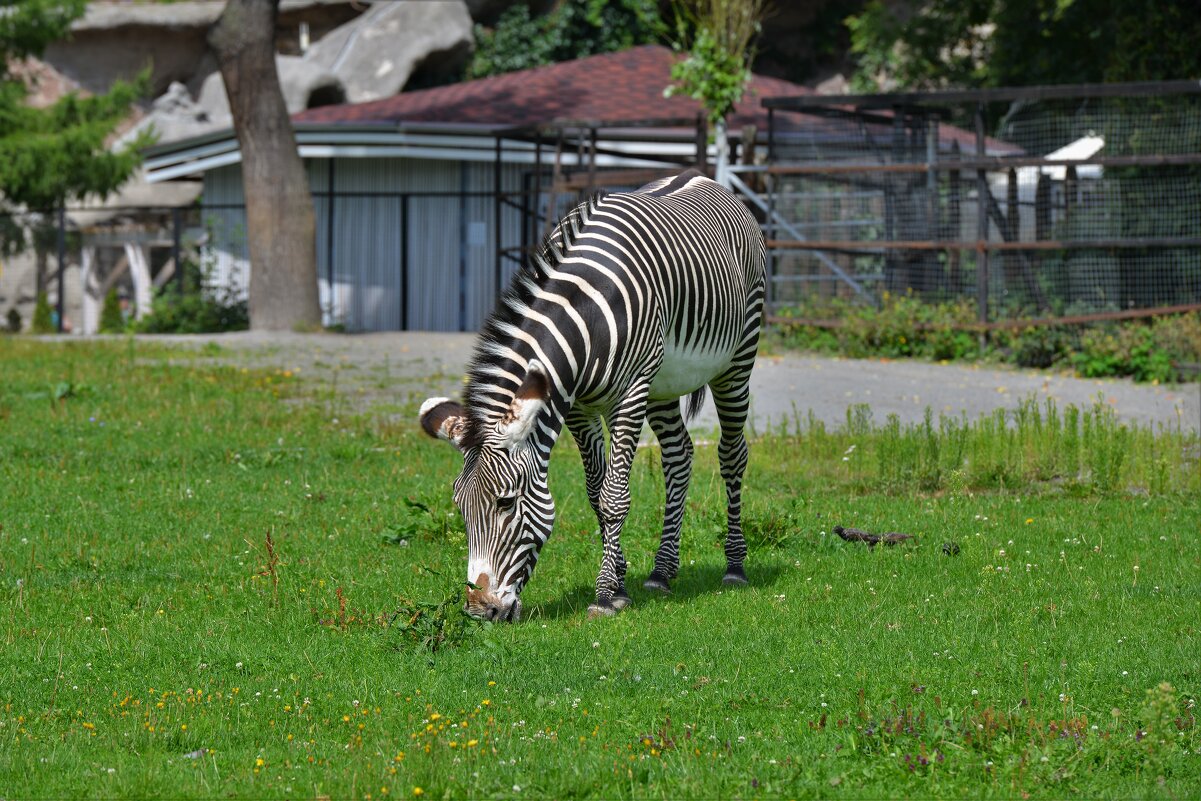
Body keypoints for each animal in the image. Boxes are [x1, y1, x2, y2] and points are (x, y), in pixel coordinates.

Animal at [420, 168, 759, 619]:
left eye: (506, 503)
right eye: (460, 506)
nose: (478, 610)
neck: (585, 319)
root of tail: (698, 176)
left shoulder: (629, 394)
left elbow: (615, 496)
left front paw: (602, 595)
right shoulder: (577, 406)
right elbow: (597, 494)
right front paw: (620, 584)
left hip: (737, 359)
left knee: (732, 455)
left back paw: (735, 565)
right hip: (664, 382)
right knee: (678, 456)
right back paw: (662, 571)